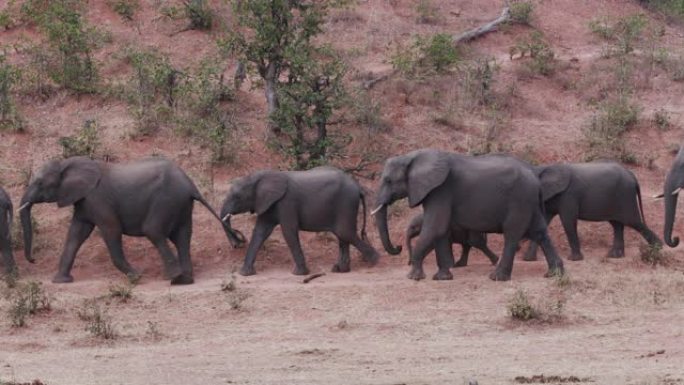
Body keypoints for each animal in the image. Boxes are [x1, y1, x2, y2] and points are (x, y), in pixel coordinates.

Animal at [18, 154, 246, 284]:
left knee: (154, 231)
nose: (33, 260)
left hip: (166, 200)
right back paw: (184, 280)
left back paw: (173, 277)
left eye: (39, 183)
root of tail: (191, 185)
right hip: (181, 204)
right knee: (182, 237)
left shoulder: (98, 199)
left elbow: (111, 230)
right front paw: (61, 281)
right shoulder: (84, 200)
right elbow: (76, 233)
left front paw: (136, 277)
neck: (66, 163)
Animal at [219, 166, 380, 274]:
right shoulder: (267, 203)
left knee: (344, 232)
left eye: (237, 197)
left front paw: (299, 273)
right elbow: (260, 232)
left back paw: (374, 261)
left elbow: (288, 232)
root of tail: (359, 187)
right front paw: (245, 273)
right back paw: (340, 269)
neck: (260, 176)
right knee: (342, 235)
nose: (237, 244)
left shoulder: (287, 202)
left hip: (346, 203)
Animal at [372, 148, 564, 280]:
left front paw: (414, 278)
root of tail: (536, 180)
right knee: (539, 232)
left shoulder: (441, 190)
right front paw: (442, 278)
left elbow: (434, 227)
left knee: (512, 234)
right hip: (529, 202)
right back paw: (554, 274)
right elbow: (440, 231)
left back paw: (497, 278)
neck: (413, 156)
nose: (398, 247)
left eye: (388, 180)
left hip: (520, 200)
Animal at [520, 160, 660, 260]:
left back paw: (658, 249)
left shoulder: (569, 195)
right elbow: (544, 222)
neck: (542, 168)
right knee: (617, 225)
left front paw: (574, 259)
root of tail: (632, 175)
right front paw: (528, 259)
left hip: (625, 195)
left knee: (633, 222)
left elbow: (568, 220)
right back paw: (614, 255)